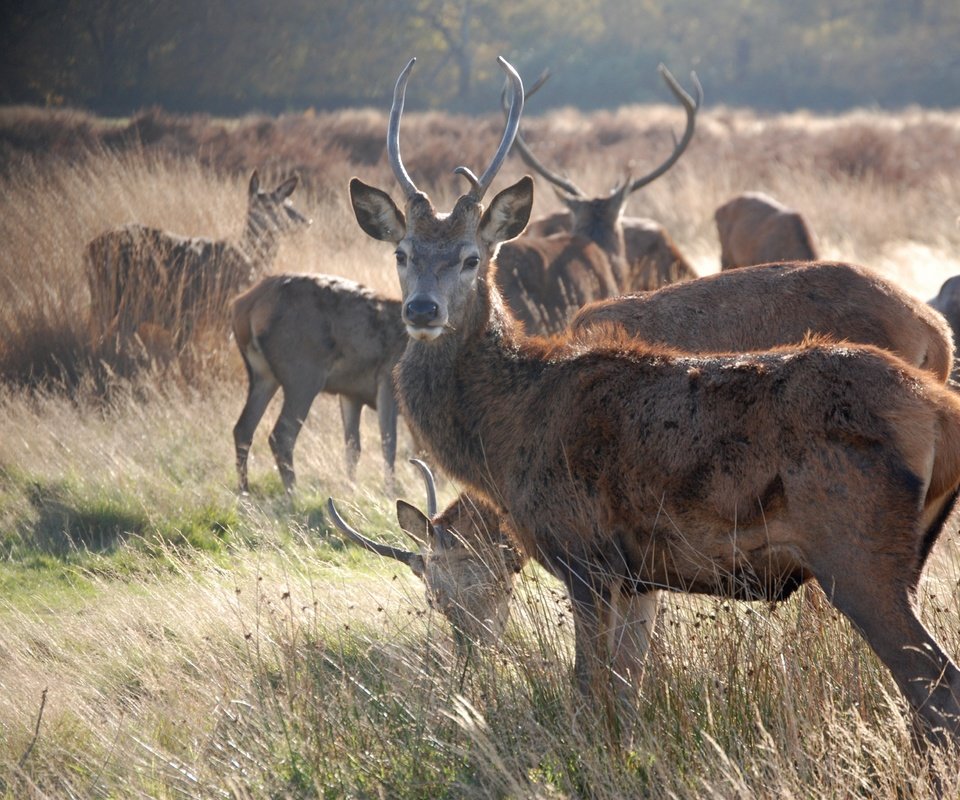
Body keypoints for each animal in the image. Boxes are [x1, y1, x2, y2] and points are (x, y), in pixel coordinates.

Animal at [86, 171, 310, 354]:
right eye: (269, 205)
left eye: (288, 203)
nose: (306, 221)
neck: (248, 259)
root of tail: (90, 246)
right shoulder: (214, 313)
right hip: (121, 296)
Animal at [232, 272, 404, 490]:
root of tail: (246, 305)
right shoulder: (387, 380)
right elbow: (389, 445)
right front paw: (389, 492)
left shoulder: (351, 393)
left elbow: (353, 447)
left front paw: (351, 489)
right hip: (303, 375)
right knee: (281, 435)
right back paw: (293, 492)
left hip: (262, 376)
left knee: (243, 428)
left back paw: (244, 491)